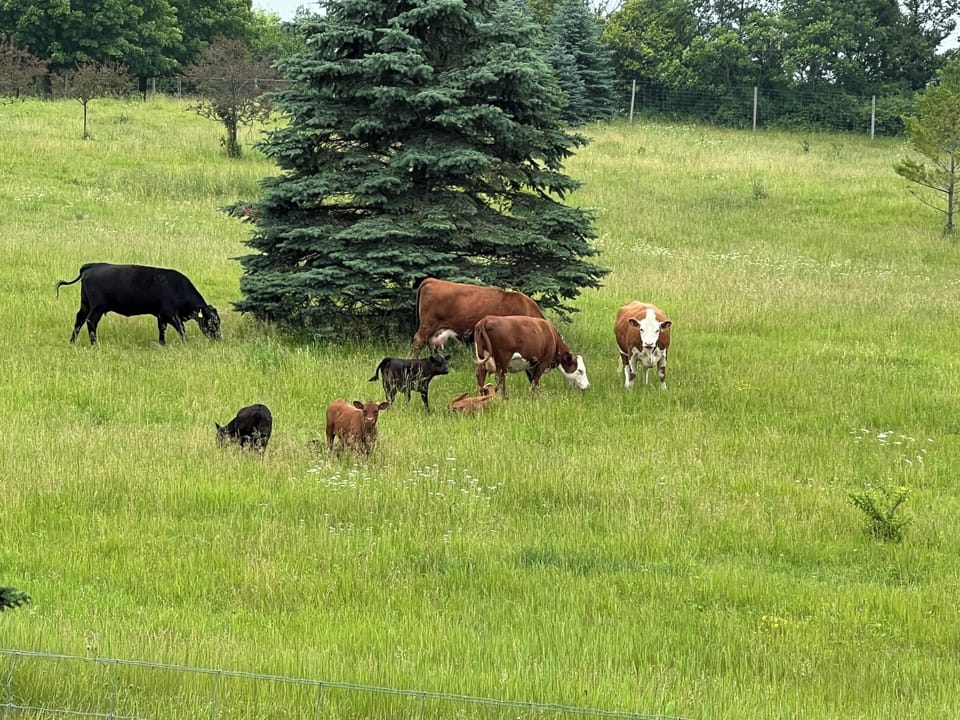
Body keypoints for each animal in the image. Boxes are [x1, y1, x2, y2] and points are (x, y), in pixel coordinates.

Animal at [55, 262, 221, 345]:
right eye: (212, 322)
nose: (218, 338)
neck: (178, 287)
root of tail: (91, 266)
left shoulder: (161, 315)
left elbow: (162, 329)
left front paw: (162, 343)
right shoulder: (171, 314)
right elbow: (181, 329)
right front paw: (186, 343)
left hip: (85, 305)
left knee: (79, 320)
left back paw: (72, 342)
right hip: (97, 307)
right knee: (91, 322)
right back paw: (94, 344)